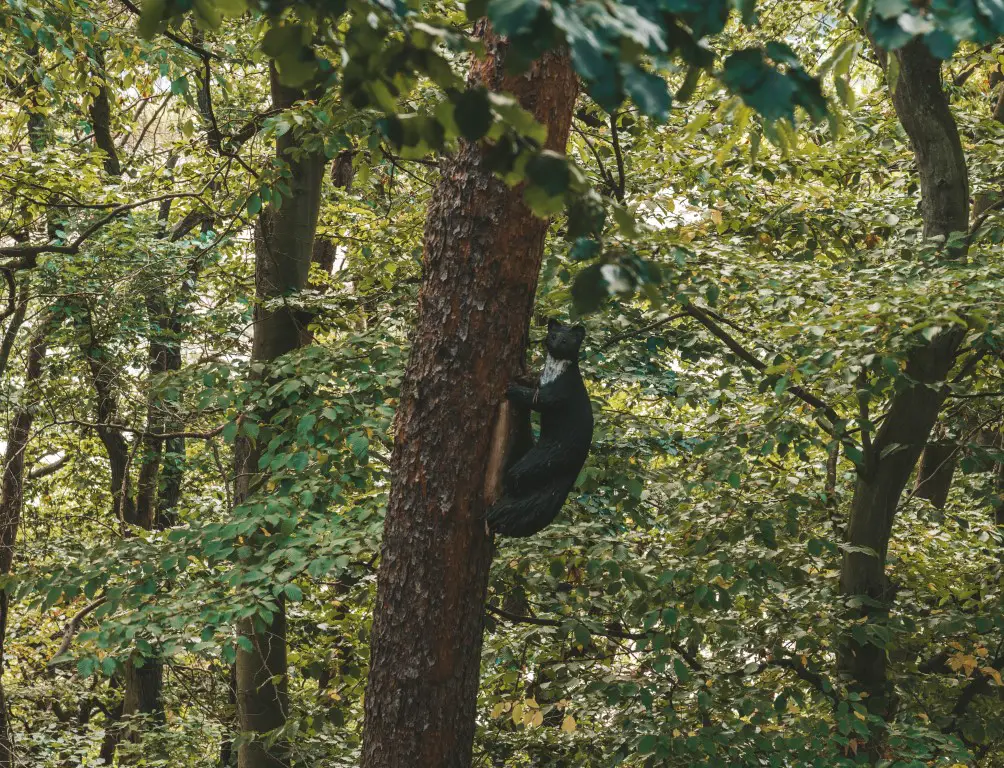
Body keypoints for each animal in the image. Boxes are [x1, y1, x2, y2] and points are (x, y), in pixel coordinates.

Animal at [487, 317, 590, 534]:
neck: (552, 374)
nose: (556, 342)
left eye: (566, 339)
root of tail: (576, 467)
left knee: (517, 477)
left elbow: (539, 400)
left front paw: (512, 388)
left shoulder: (559, 393)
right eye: (553, 334)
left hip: (547, 457)